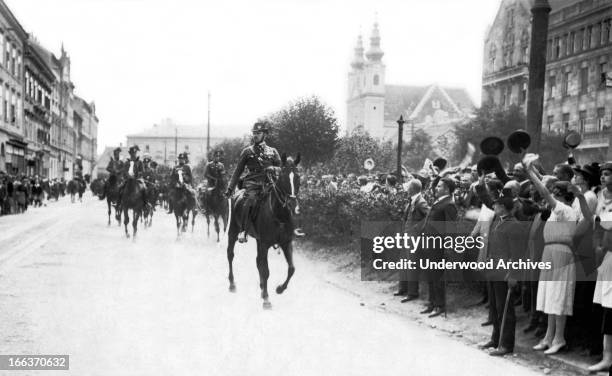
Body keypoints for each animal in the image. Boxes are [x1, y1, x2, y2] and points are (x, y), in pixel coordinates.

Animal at [226, 152, 300, 308]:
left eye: (298, 177)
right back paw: (232, 283)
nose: (292, 204)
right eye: (283, 177)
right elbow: (266, 270)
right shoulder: (265, 244)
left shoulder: (286, 243)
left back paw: (261, 287)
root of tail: (238, 193)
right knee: (230, 254)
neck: (278, 214)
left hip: (258, 241)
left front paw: (279, 289)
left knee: (257, 260)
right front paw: (266, 298)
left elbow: (291, 268)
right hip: (233, 230)